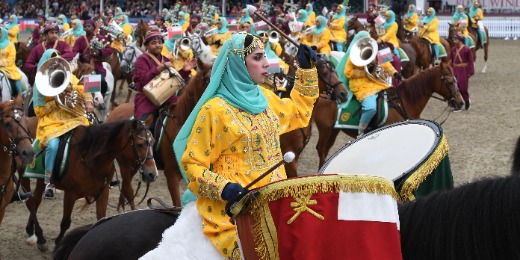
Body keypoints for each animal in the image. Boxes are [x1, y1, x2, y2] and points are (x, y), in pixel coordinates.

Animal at [17, 118, 157, 252]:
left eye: (153, 143)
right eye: (140, 144)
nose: (152, 174)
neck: (89, 158)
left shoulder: (103, 192)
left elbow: (101, 218)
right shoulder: (70, 194)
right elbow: (65, 222)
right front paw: (58, 244)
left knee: (35, 201)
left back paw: (31, 231)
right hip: (26, 179)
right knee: (32, 203)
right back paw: (39, 238)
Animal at [312, 61, 464, 168]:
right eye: (450, 81)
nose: (461, 102)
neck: (403, 101)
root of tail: (325, 95)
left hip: (333, 131)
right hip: (325, 130)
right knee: (321, 149)